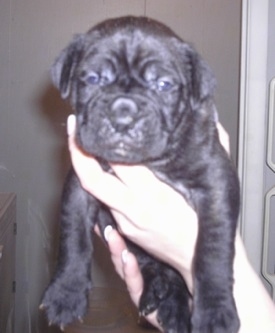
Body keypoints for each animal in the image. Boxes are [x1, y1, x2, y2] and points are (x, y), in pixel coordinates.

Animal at [41, 16, 242, 332]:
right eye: (94, 79)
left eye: (163, 85)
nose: (123, 114)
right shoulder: (80, 185)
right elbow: (73, 239)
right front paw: (66, 293)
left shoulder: (216, 184)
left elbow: (212, 251)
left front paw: (215, 312)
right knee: (157, 269)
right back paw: (159, 298)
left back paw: (173, 310)